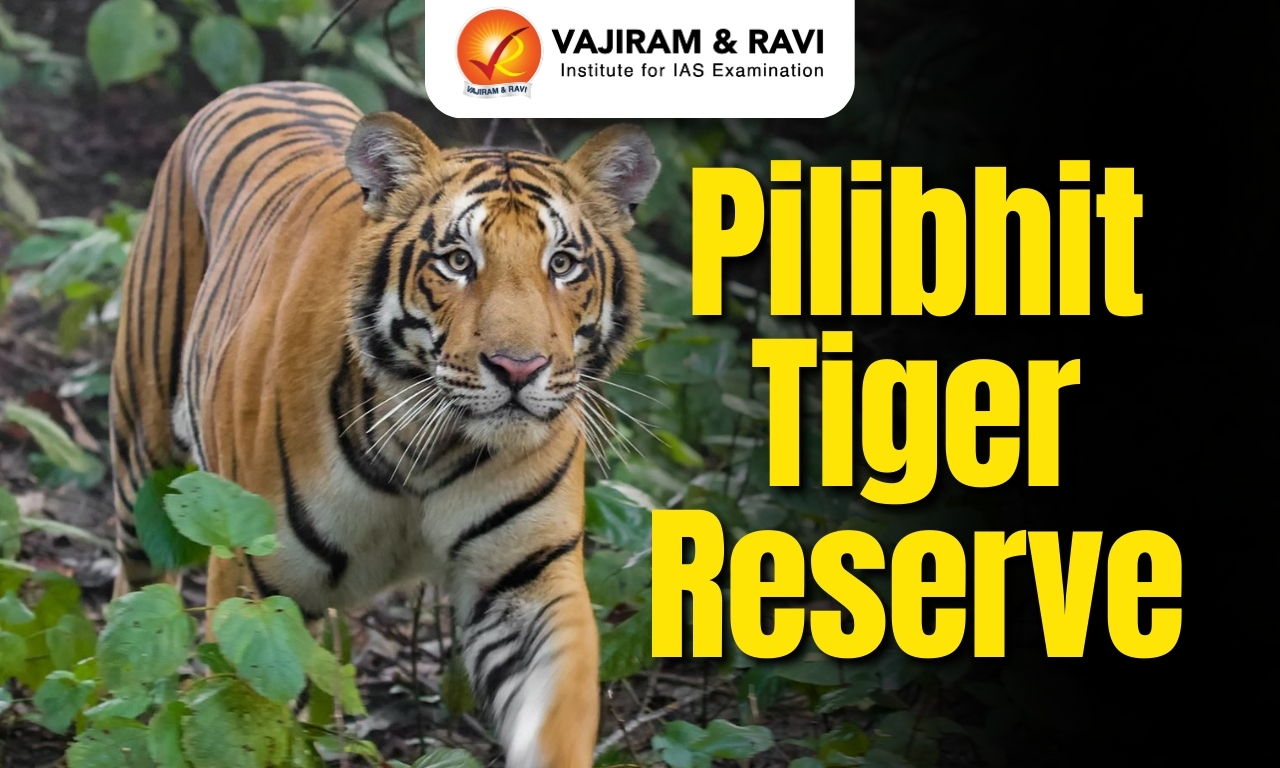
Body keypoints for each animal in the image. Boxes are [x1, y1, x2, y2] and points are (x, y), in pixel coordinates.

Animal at [107, 81, 658, 768]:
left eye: (562, 264)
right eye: (457, 261)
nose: (518, 367)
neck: (430, 445)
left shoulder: (526, 579)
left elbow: (558, 711)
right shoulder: (251, 578)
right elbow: (241, 723)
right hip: (142, 454)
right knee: (132, 591)